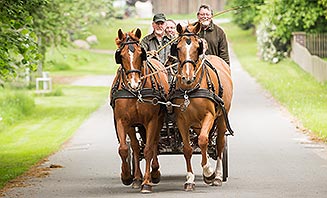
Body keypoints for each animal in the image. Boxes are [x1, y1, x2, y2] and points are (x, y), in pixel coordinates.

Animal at [110, 28, 170, 193]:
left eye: (139, 53)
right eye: (121, 55)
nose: (134, 83)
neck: (136, 92)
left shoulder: (152, 120)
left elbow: (149, 149)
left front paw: (147, 182)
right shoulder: (123, 121)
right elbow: (126, 148)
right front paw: (127, 176)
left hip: (158, 120)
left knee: (154, 143)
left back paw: (154, 172)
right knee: (136, 147)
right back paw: (137, 178)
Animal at [168, 22, 234, 191]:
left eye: (198, 47)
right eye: (178, 47)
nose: (187, 77)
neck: (190, 90)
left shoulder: (209, 115)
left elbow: (203, 140)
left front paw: (209, 172)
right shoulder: (181, 120)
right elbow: (187, 149)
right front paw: (190, 179)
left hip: (221, 118)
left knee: (218, 145)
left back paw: (217, 176)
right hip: (197, 123)